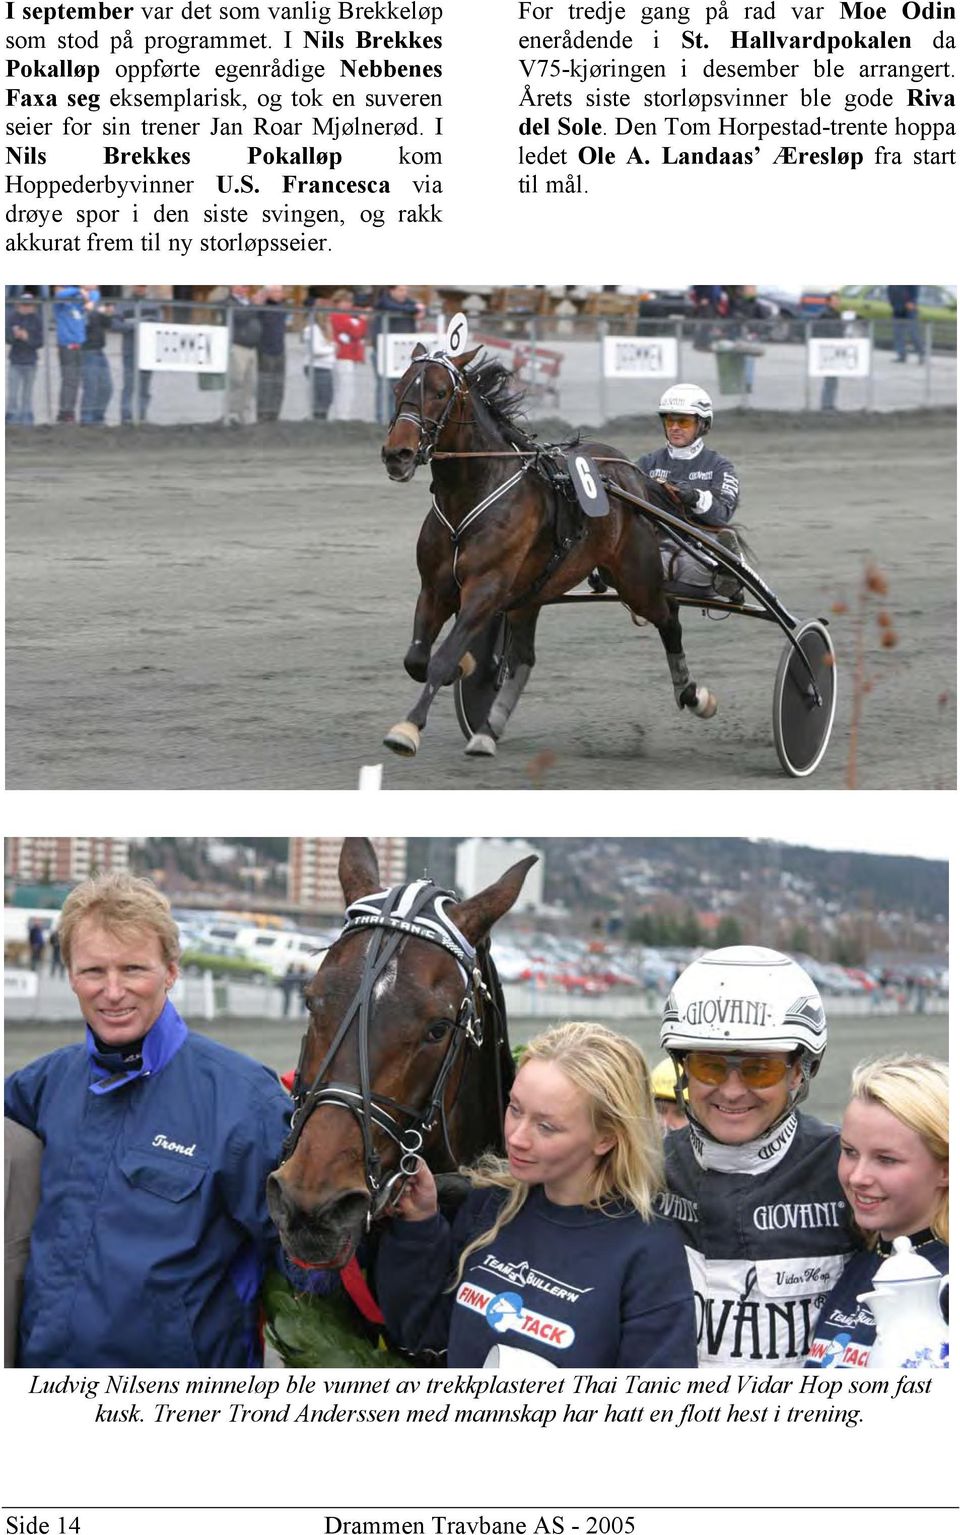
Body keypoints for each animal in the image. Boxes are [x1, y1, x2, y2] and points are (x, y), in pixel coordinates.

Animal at [377, 345, 715, 758]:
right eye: (398, 389)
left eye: (440, 392)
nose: (398, 453)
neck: (470, 494)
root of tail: (631, 473)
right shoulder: (434, 589)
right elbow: (417, 660)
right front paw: (466, 669)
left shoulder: (486, 588)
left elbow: (442, 660)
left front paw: (408, 728)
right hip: (532, 592)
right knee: (524, 659)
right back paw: (487, 731)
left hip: (635, 578)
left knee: (670, 616)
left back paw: (693, 694)